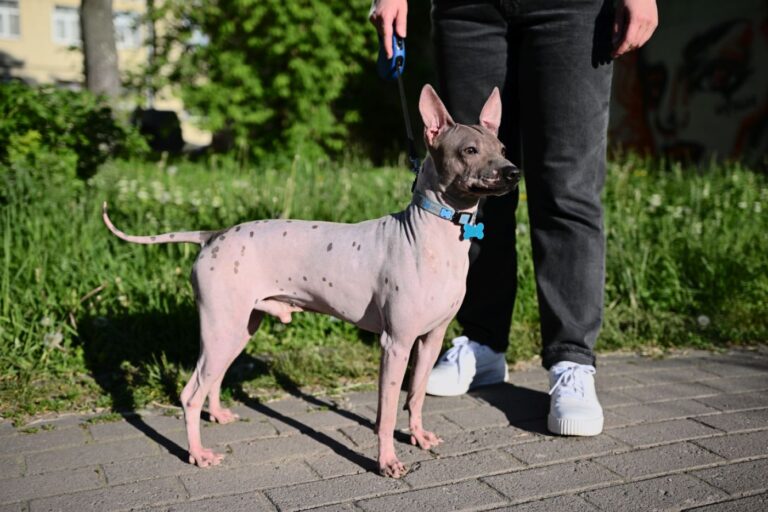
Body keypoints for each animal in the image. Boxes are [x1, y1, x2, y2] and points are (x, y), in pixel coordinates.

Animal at [103, 85, 520, 480]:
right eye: (469, 150)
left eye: (501, 147)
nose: (513, 172)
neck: (432, 236)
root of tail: (213, 235)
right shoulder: (395, 344)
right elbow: (386, 413)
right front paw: (387, 462)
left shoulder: (431, 339)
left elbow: (415, 395)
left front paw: (418, 436)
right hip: (222, 327)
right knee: (190, 393)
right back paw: (198, 454)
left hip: (238, 328)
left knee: (214, 377)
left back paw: (218, 415)